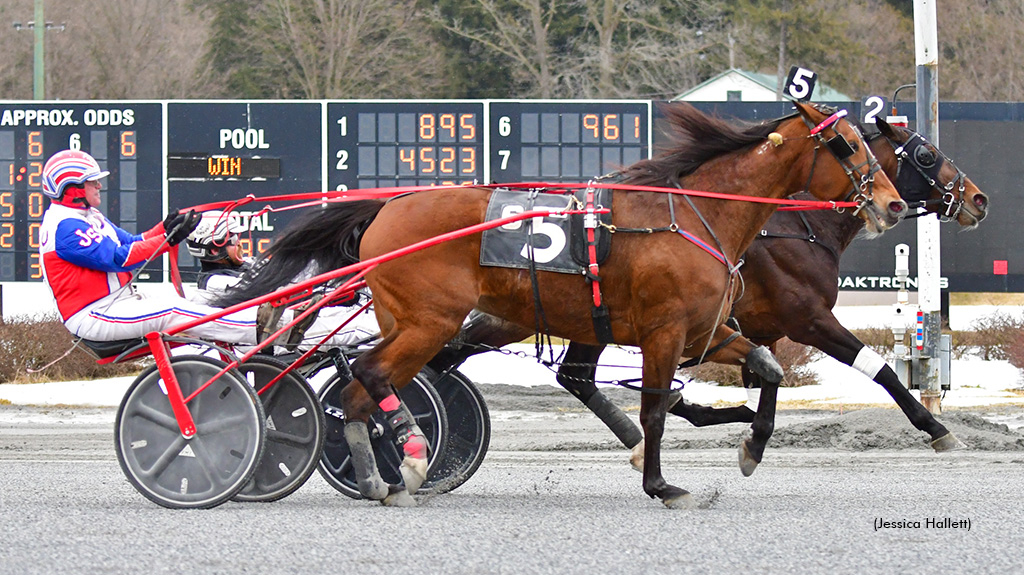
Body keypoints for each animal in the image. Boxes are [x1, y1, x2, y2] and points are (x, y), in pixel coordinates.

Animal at [222, 100, 905, 503]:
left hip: (424, 321)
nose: (893, 203)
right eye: (847, 145)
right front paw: (662, 484)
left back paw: (380, 480)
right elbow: (655, 409)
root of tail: (388, 206)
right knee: (367, 373)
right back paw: (408, 456)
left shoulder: (704, 329)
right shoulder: (662, 332)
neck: (693, 216)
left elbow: (765, 369)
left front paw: (751, 447)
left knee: (360, 385)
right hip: (429, 321)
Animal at [428, 118, 987, 472]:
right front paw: (936, 428)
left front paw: (751, 436)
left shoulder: (761, 326)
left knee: (548, 371)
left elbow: (765, 379)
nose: (978, 199)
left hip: (552, 315)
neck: (793, 226)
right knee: (522, 366)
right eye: (927, 154)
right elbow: (882, 370)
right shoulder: (808, 318)